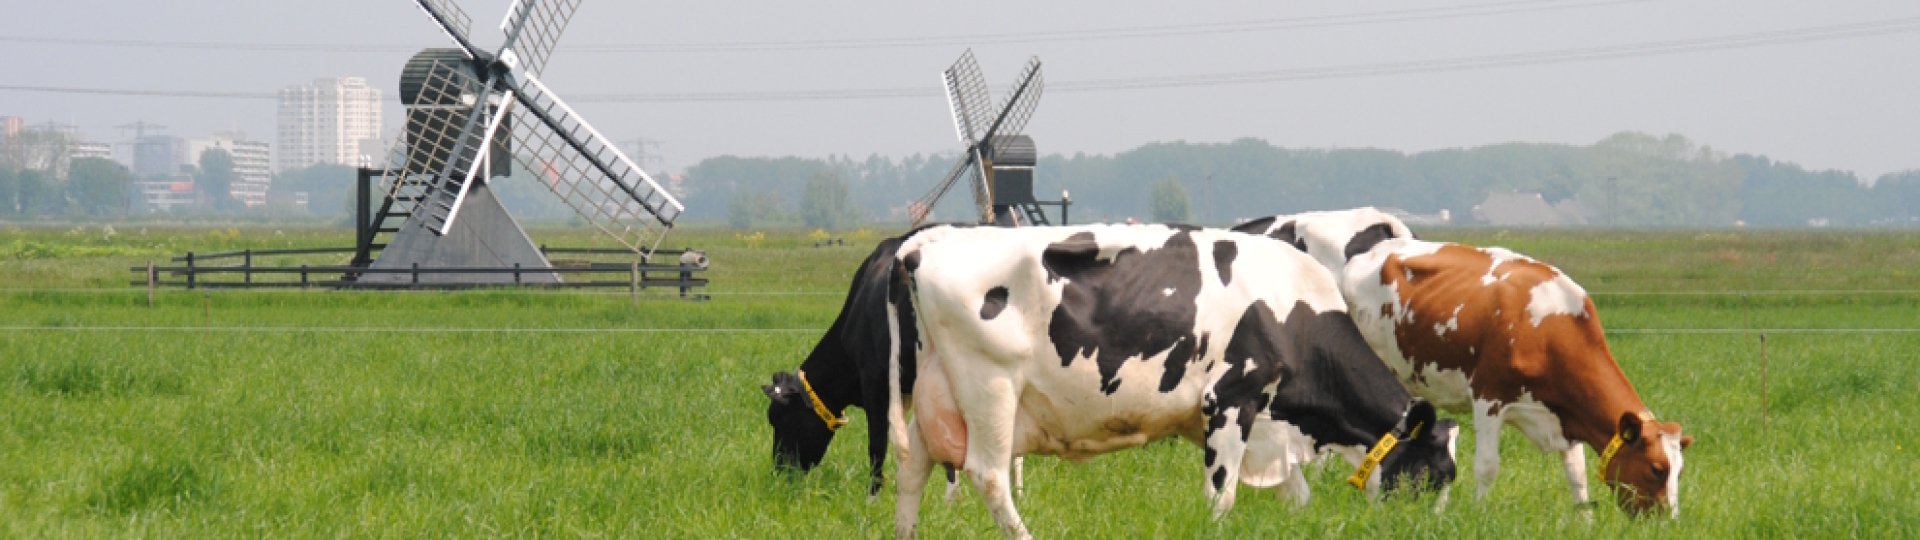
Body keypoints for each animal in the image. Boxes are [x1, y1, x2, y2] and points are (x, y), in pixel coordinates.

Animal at [888, 224, 1458, 539]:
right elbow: (1221, 497)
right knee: (989, 475)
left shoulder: (1264, 427)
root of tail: (930, 239)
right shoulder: (1230, 402)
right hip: (990, 385)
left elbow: (1296, 496)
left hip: (938, 389)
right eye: (1436, 474)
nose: (1430, 531)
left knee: (912, 467)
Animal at [1233, 208, 1693, 517]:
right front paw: (1481, 514)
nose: (1667, 522)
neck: (1549, 324)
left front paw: (1584, 520)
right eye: (1656, 469)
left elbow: (1576, 472)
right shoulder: (1489, 397)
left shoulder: (1562, 413)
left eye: (1679, 471)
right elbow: (1488, 467)